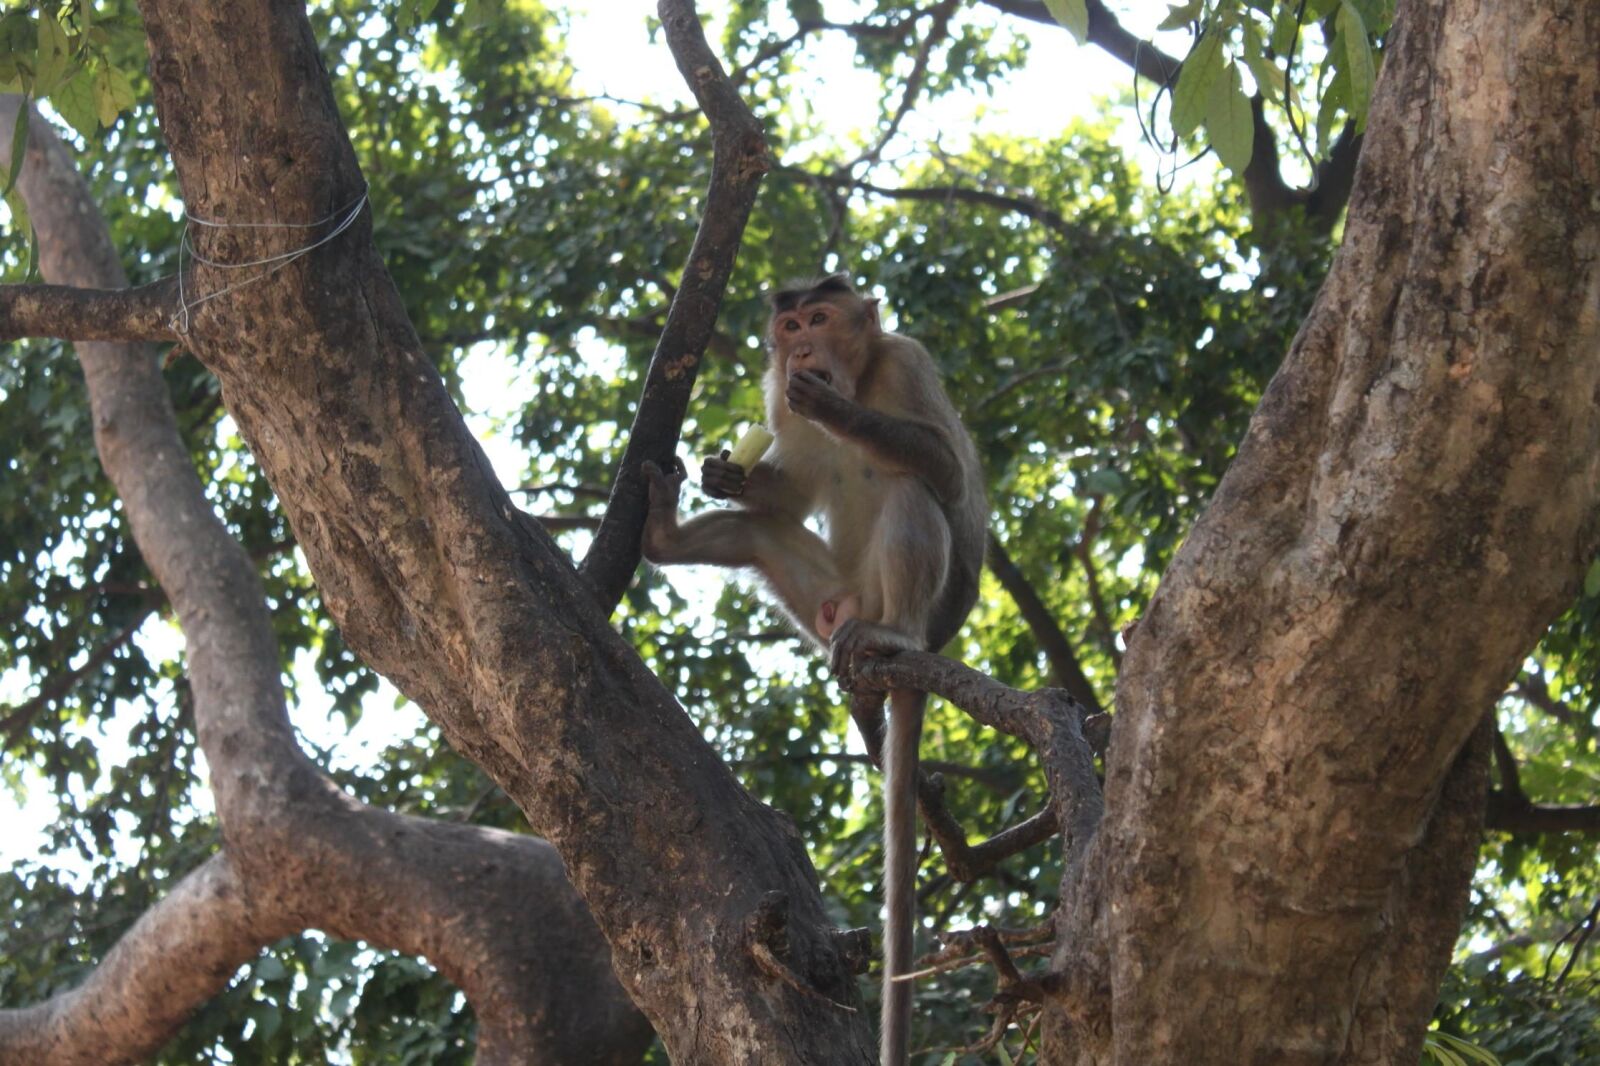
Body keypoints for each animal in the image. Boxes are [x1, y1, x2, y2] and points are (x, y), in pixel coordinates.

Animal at [640, 274, 986, 1065]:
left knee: (914, 491)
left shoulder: (906, 362)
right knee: (763, 534)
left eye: (821, 318)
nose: (800, 348)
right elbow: (784, 496)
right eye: (791, 325)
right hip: (822, 599)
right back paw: (664, 536)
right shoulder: (774, 400)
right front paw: (724, 474)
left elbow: (946, 470)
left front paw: (836, 409)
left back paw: (893, 635)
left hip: (895, 607)